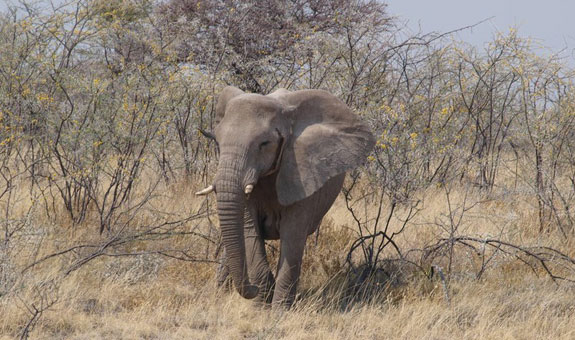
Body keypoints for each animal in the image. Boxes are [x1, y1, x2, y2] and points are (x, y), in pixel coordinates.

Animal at [197, 85, 378, 308]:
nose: (251, 288)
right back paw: (220, 292)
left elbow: (293, 235)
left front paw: (279, 311)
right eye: (218, 142)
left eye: (264, 143)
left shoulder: (302, 174)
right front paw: (260, 306)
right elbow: (249, 231)